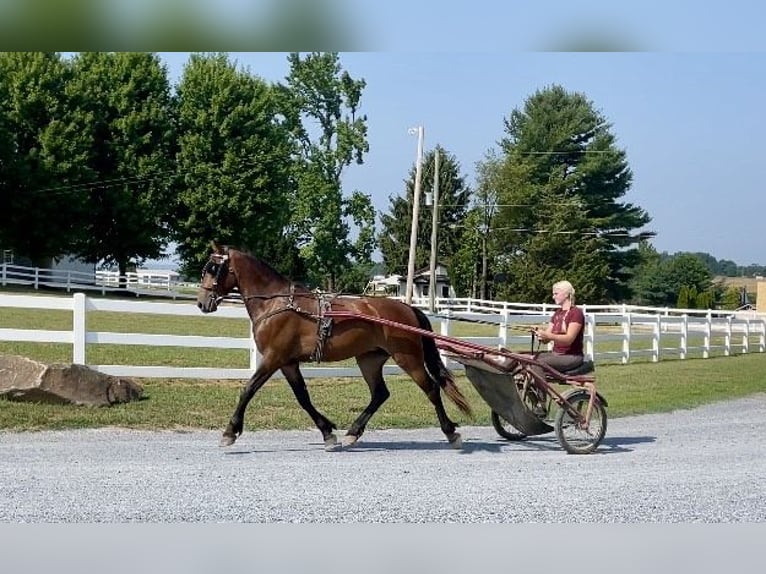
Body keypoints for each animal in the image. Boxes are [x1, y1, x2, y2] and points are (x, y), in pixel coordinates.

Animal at [198, 242, 474, 450]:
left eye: (213, 268)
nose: (202, 303)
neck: (277, 304)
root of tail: (408, 308)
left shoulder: (273, 358)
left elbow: (248, 390)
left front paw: (230, 432)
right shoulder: (288, 362)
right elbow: (303, 397)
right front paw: (328, 432)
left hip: (408, 358)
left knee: (431, 389)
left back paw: (450, 432)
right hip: (369, 359)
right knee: (380, 393)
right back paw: (353, 432)